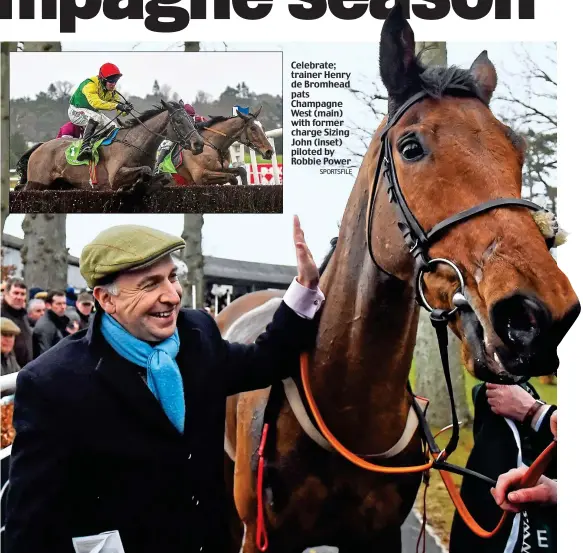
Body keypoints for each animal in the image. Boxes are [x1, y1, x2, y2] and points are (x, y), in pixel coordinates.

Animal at [15, 100, 205, 193]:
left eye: (192, 120)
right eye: (178, 121)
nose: (199, 144)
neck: (135, 143)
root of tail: (40, 146)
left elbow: (163, 176)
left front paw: (144, 185)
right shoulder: (114, 177)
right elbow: (144, 171)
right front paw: (134, 185)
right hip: (37, 183)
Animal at [214, 5, 580, 552]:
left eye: (516, 152)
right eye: (410, 147)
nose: (538, 315)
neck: (348, 412)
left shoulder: (380, 535)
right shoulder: (261, 537)